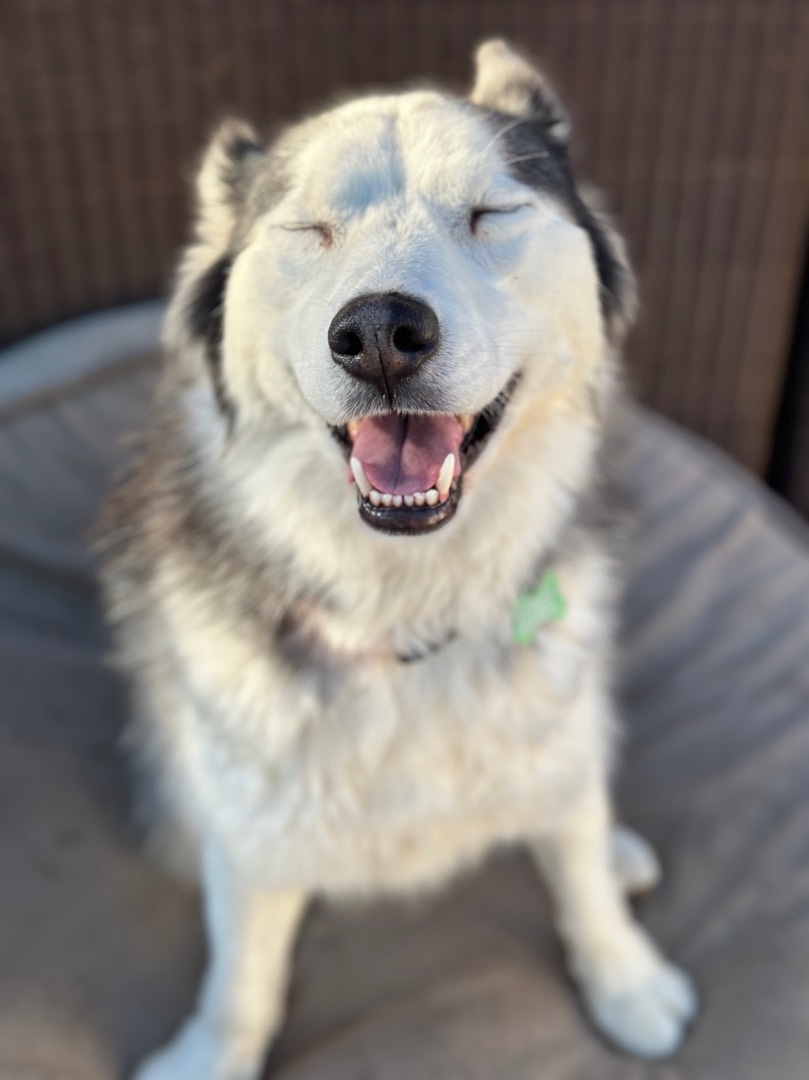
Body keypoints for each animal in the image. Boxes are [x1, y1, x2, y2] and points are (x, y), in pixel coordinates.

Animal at [99, 38, 695, 1075]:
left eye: (491, 213)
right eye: (309, 229)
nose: (379, 331)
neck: (409, 604)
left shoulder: (555, 720)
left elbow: (576, 862)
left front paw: (622, 976)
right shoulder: (250, 824)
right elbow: (242, 971)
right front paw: (212, 1051)